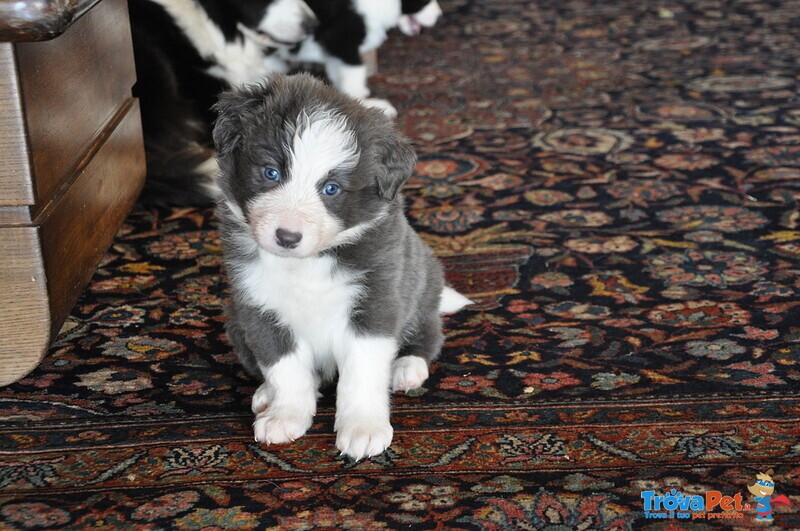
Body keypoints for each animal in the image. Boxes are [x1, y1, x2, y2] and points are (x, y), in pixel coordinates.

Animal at [216, 75, 472, 462]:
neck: (308, 264)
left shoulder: (375, 303)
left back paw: (407, 368)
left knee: (428, 335)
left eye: (331, 188)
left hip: (421, 287)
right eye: (270, 172)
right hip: (234, 321)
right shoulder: (258, 307)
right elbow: (284, 367)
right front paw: (285, 415)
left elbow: (361, 373)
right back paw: (265, 394)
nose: (287, 236)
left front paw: (363, 428)